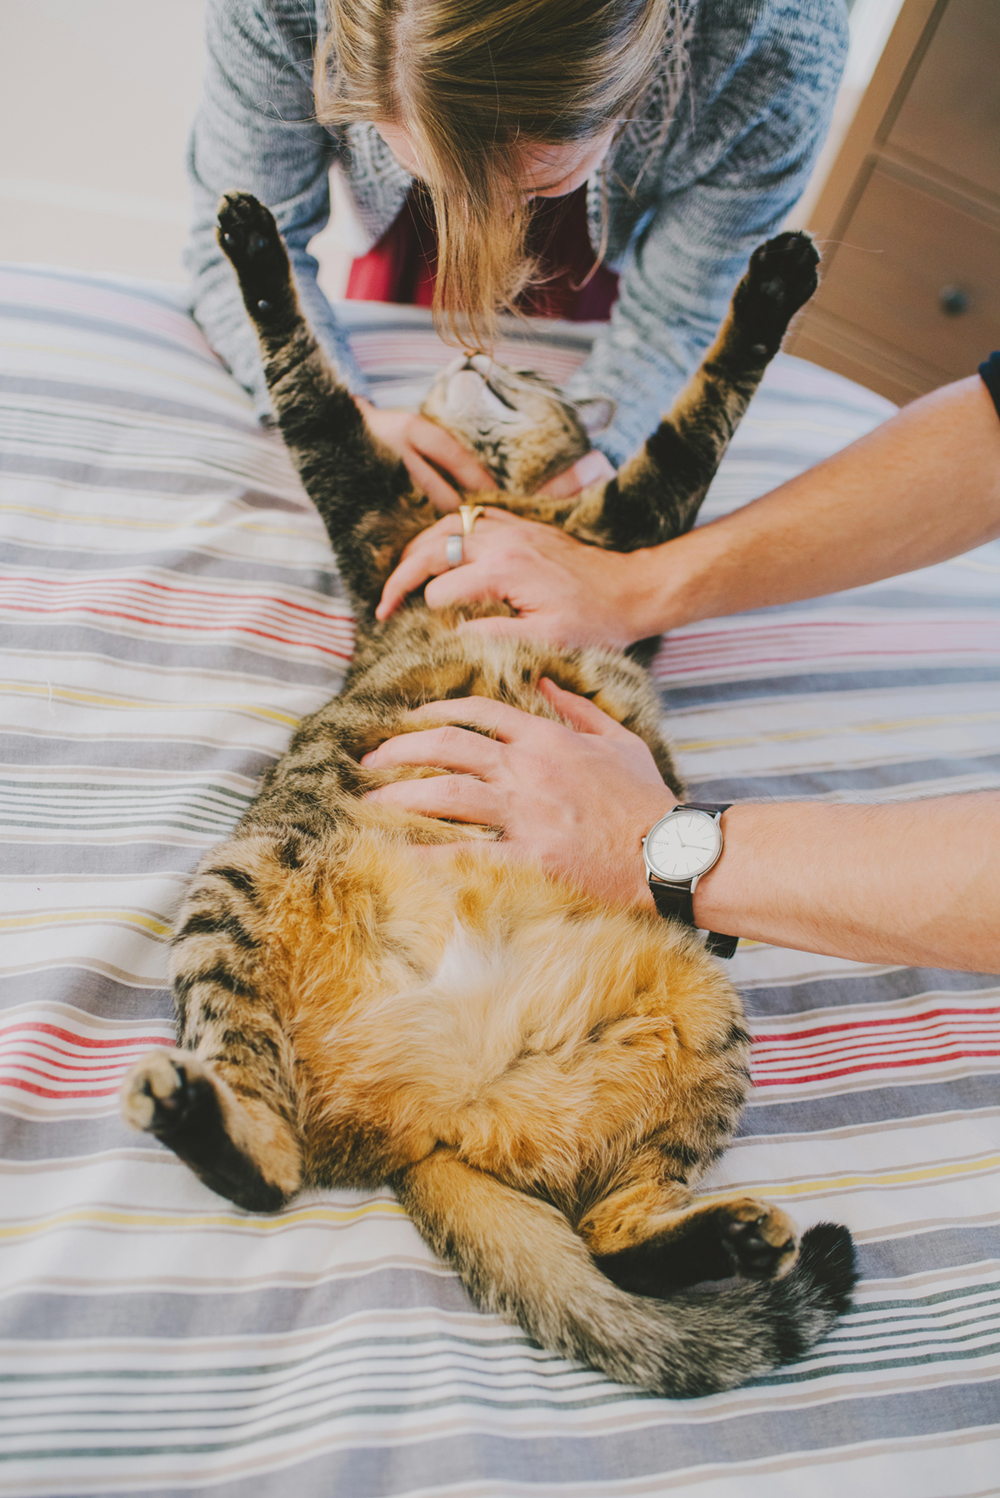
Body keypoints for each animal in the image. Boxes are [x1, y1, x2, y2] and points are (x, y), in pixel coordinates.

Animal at [121, 193, 856, 1396]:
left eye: (517, 365)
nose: (471, 350)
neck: (489, 498)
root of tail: (426, 1128)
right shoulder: (382, 507)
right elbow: (309, 374)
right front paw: (254, 243)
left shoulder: (622, 533)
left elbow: (696, 413)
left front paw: (774, 282)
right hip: (241, 886)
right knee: (277, 1166)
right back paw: (200, 1114)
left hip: (705, 1018)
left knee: (607, 1233)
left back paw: (730, 1240)